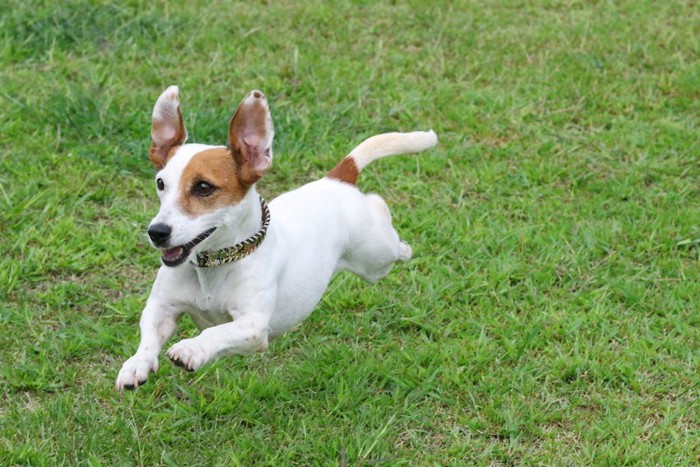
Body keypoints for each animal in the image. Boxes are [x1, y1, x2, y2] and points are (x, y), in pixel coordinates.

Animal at [113, 86, 438, 390]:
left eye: (203, 187)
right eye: (160, 184)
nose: (156, 232)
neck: (214, 265)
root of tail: (335, 180)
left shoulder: (254, 329)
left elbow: (215, 331)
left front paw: (192, 348)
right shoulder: (162, 308)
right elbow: (149, 333)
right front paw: (137, 364)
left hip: (375, 258)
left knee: (383, 216)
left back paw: (402, 243)